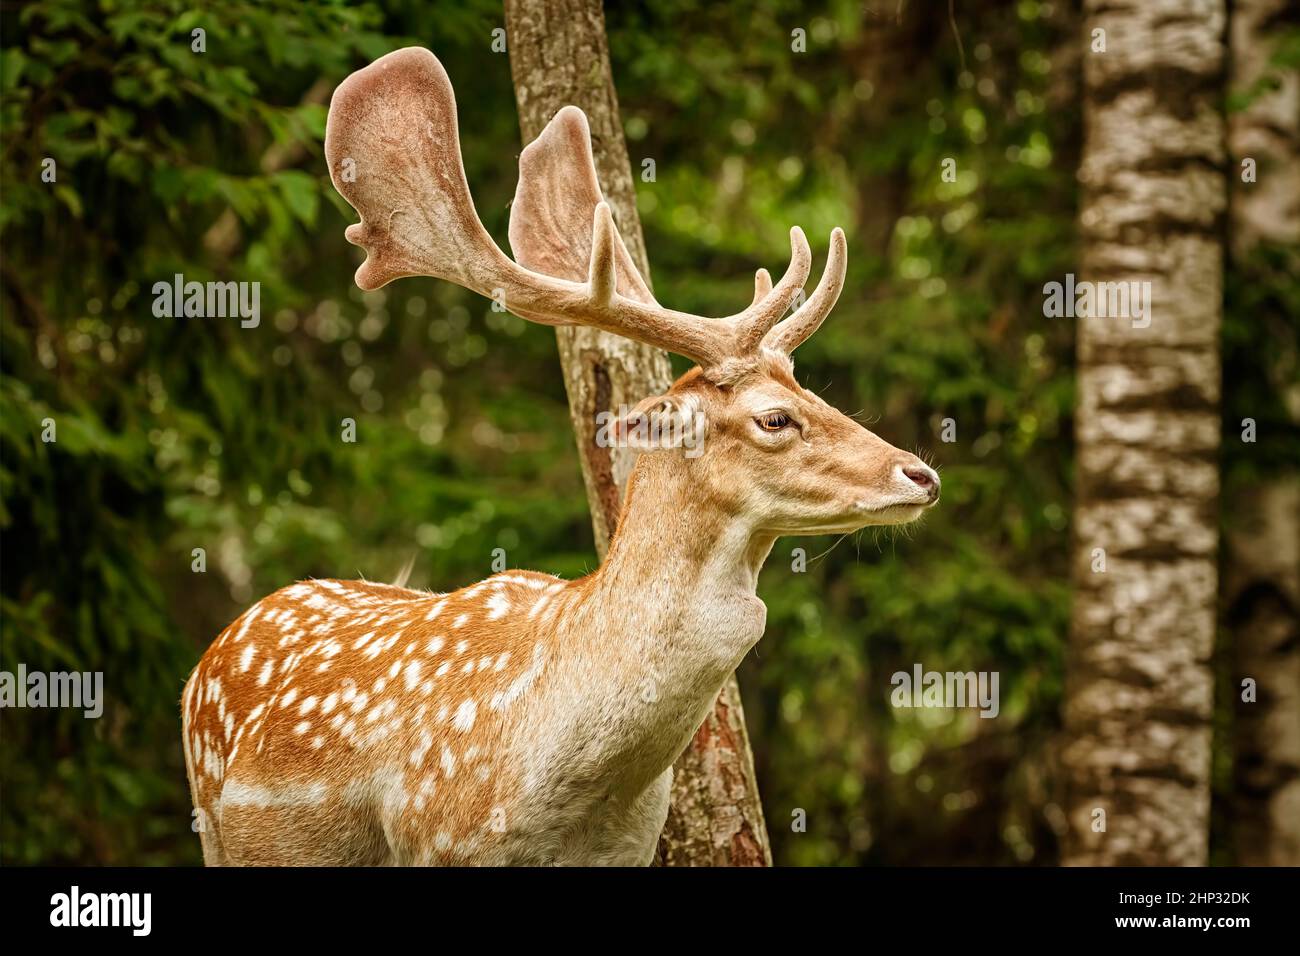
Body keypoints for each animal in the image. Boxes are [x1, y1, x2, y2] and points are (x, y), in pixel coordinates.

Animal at [180, 46, 935, 868]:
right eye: (775, 417)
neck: (577, 790)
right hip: (218, 834)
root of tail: (208, 655)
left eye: (813, 391)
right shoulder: (444, 842)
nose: (921, 473)